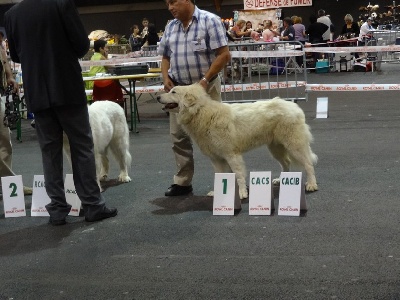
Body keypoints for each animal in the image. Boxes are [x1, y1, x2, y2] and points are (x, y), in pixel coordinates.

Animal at [158, 83, 318, 199]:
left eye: (173, 92)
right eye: (169, 90)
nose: (158, 97)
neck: (201, 113)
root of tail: (294, 106)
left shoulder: (231, 154)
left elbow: (239, 175)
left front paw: (242, 194)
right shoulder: (216, 158)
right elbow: (219, 176)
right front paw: (218, 193)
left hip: (294, 145)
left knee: (308, 164)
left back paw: (311, 184)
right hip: (276, 148)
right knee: (286, 162)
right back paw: (281, 180)